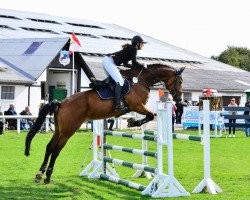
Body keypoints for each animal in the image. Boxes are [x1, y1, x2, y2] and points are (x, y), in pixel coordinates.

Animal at [24, 63, 186, 184]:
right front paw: (133, 122)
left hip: (59, 130)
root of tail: (61, 103)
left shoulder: (136, 107)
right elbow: (151, 115)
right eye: (180, 81)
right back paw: (47, 177)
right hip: (68, 130)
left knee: (49, 147)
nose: (179, 99)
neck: (140, 81)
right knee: (56, 150)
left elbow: (149, 115)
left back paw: (39, 174)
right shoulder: (136, 105)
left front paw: (132, 121)